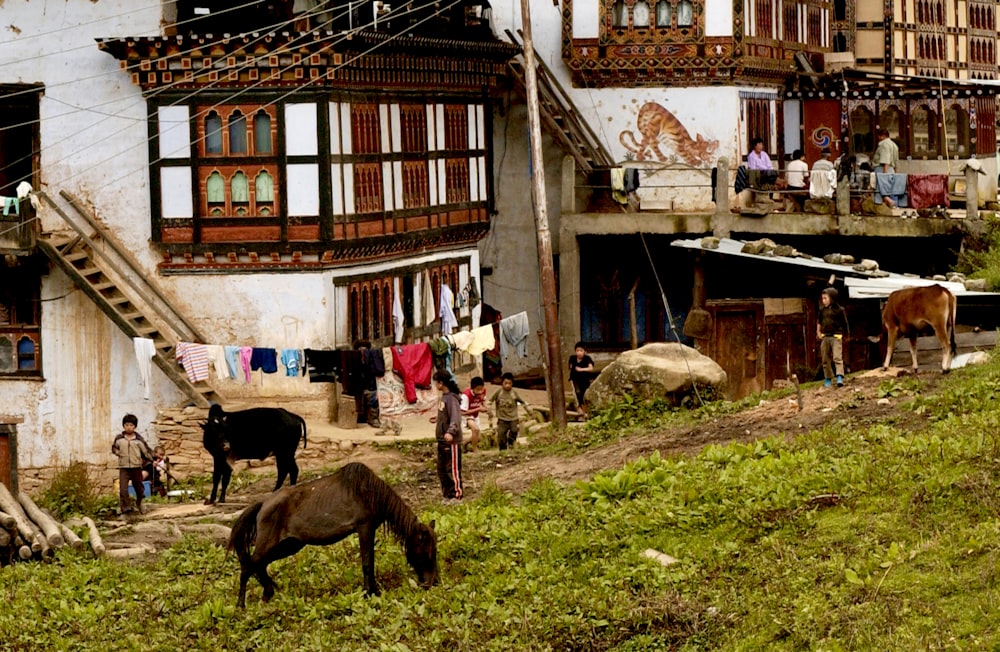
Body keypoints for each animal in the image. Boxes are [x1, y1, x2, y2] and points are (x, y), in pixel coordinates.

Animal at [231, 464, 442, 608]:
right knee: (248, 566)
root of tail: (263, 503)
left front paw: (374, 590)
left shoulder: (369, 530)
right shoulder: (364, 528)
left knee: (259, 565)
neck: (369, 492)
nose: (433, 582)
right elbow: (367, 563)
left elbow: (370, 562)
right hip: (270, 545)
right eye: (427, 553)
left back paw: (268, 592)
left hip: (289, 545)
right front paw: (369, 593)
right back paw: (241, 605)